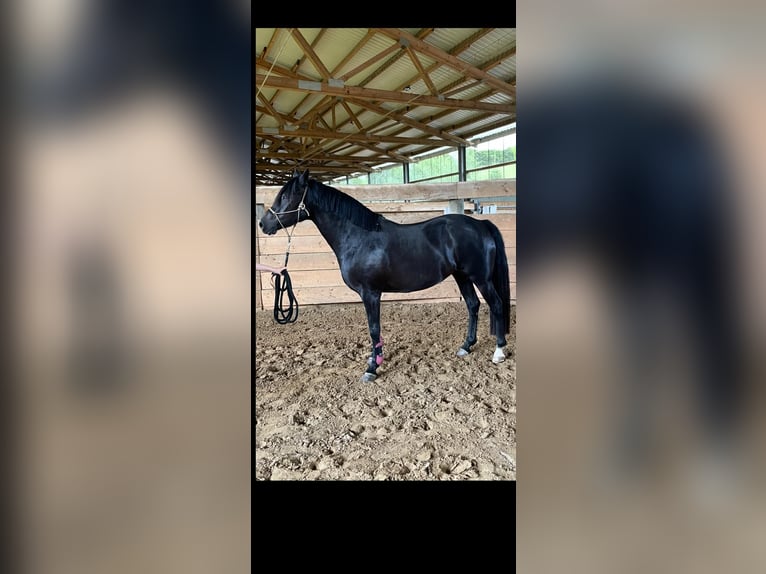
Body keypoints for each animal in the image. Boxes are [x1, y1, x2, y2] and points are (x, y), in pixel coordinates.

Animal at [258, 169, 512, 382]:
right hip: (462, 276)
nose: (263, 223)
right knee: (473, 305)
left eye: (285, 196)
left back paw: (499, 351)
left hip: (481, 278)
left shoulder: (370, 293)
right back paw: (466, 346)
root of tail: (481, 224)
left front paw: (372, 368)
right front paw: (374, 361)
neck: (358, 237)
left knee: (497, 304)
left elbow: (374, 329)